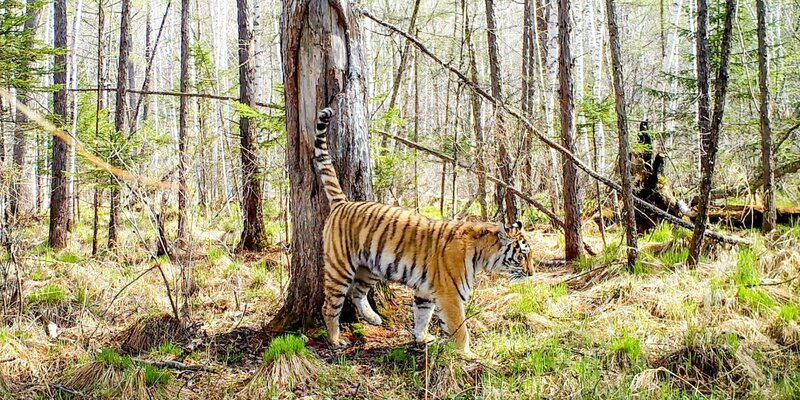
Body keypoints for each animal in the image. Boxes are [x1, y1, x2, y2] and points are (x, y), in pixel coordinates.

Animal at [313, 107, 532, 358]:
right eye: (522, 255)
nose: (532, 273)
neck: (481, 255)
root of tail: (343, 203)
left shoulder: (426, 291)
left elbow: (422, 315)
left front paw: (422, 337)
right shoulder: (450, 294)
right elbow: (459, 329)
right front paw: (468, 355)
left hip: (371, 267)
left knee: (357, 292)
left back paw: (373, 318)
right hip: (340, 267)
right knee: (331, 305)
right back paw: (335, 339)